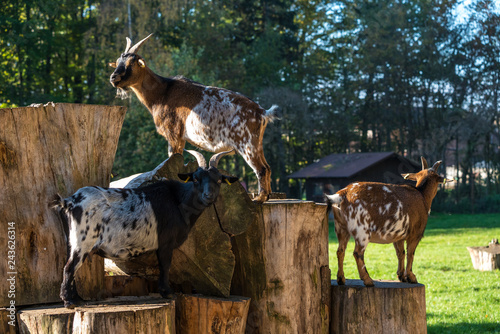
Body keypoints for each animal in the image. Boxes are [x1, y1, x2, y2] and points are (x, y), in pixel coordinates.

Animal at [50, 149, 238, 308]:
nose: (208, 196)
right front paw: (167, 293)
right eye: (196, 179)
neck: (178, 201)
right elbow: (165, 265)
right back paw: (69, 302)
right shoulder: (166, 243)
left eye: (219, 180)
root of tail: (69, 201)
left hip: (71, 241)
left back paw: (76, 299)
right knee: (69, 268)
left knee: (69, 266)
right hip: (83, 240)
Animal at [108, 34, 278, 202]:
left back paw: (260, 198)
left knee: (262, 168)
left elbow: (173, 157)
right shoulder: (180, 136)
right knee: (268, 167)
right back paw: (268, 195)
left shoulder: (173, 132)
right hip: (256, 143)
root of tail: (262, 112)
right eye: (117, 61)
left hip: (246, 143)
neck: (162, 93)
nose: (114, 78)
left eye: (132, 63)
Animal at [326, 158, 452, 286]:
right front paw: (411, 277)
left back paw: (341, 279)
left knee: (340, 251)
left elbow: (401, 253)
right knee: (357, 253)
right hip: (362, 230)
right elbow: (410, 253)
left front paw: (401, 276)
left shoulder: (398, 236)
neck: (422, 195)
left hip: (341, 228)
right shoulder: (415, 233)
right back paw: (368, 280)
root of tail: (343, 193)